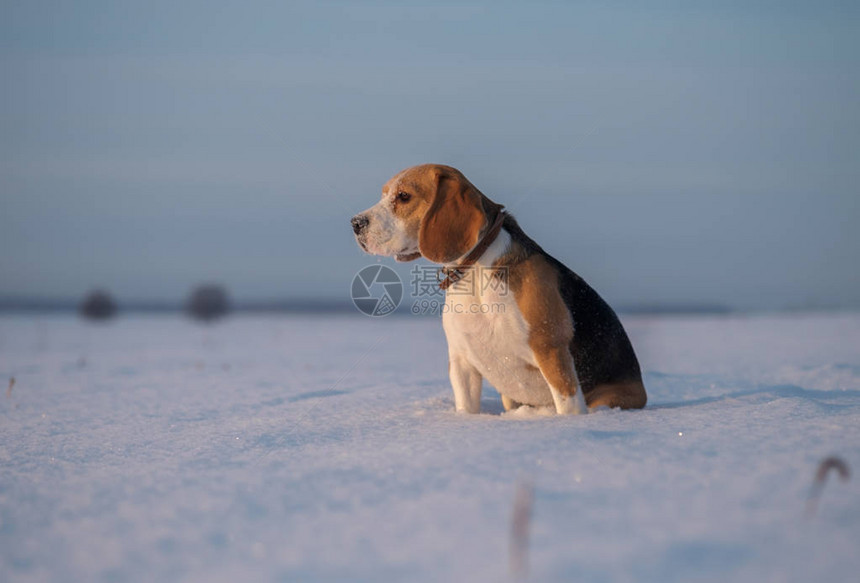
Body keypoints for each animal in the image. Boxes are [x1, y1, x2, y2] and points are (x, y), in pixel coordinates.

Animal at [352, 163, 644, 416]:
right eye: (384, 194)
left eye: (403, 196)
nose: (355, 223)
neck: (474, 270)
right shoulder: (462, 363)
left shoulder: (552, 353)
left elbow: (568, 405)